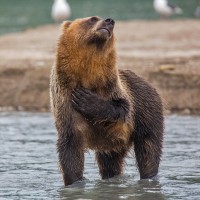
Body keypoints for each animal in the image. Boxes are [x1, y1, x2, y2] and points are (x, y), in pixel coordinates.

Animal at [50, 15, 164, 186]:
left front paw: (86, 99)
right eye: (92, 19)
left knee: (148, 148)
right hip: (111, 144)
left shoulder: (113, 88)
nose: (110, 21)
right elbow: (71, 148)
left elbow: (121, 108)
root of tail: (149, 83)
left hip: (146, 111)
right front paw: (75, 182)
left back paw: (149, 176)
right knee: (110, 162)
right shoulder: (65, 99)